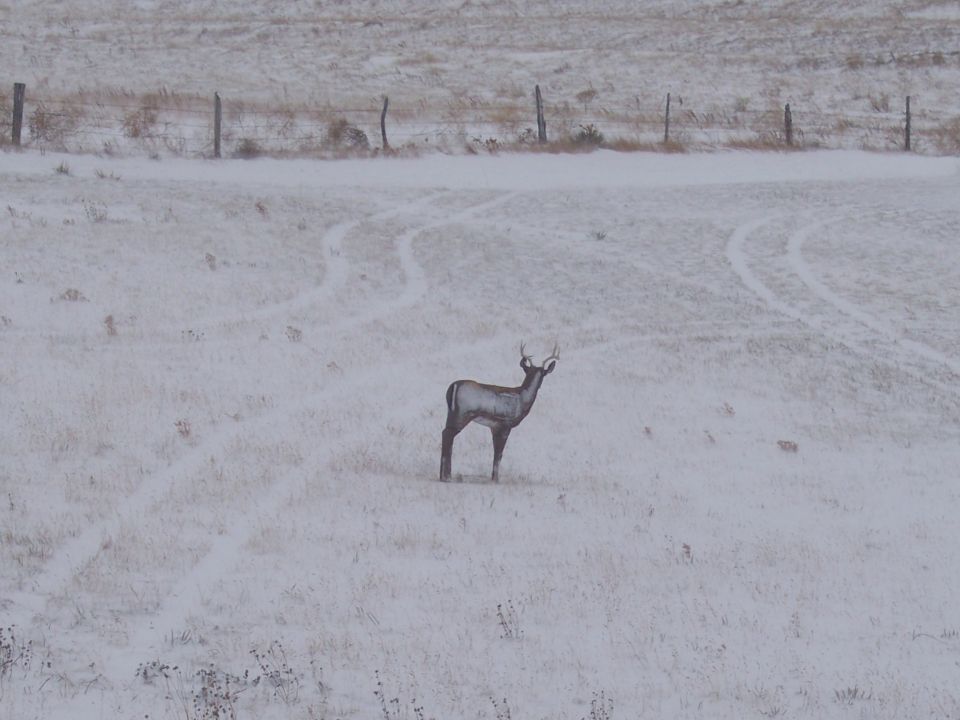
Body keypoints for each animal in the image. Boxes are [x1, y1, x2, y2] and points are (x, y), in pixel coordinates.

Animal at [440, 343, 559, 482]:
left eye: (541, 374)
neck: (522, 398)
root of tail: (453, 387)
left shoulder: (495, 427)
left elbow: (495, 452)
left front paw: (493, 478)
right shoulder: (506, 424)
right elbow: (499, 454)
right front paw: (496, 480)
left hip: (451, 413)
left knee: (446, 434)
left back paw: (444, 475)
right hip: (463, 414)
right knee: (448, 435)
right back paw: (446, 476)